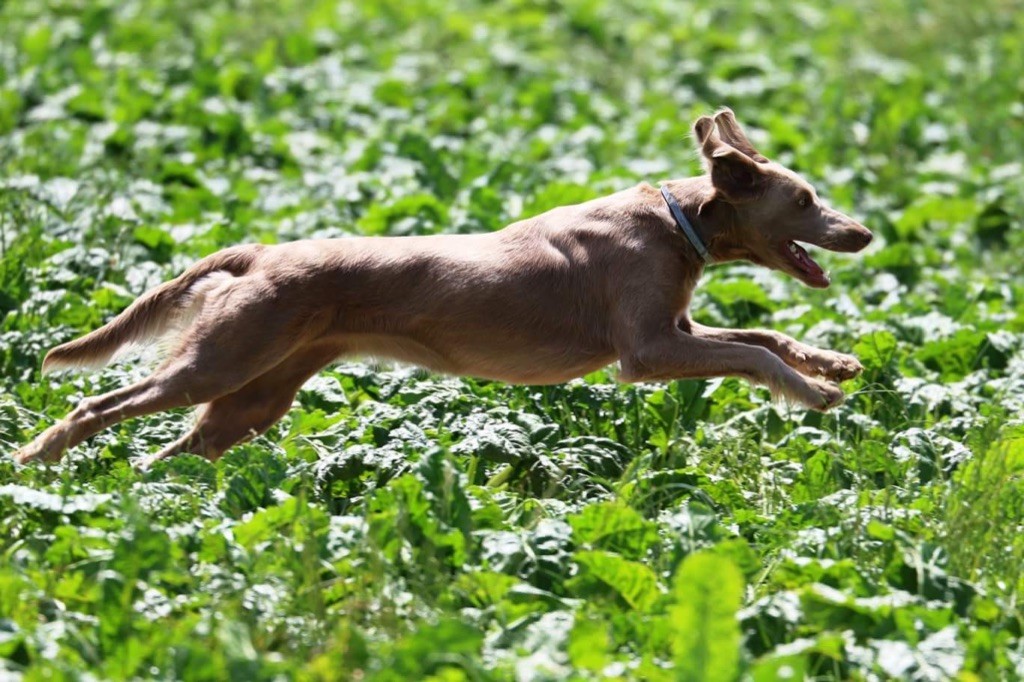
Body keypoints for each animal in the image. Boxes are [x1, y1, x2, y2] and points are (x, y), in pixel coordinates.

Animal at [12, 107, 868, 466]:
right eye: (805, 200)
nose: (864, 233)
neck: (677, 220)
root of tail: (258, 255)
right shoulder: (647, 353)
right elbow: (752, 354)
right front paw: (815, 391)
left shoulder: (675, 334)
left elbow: (761, 337)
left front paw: (829, 364)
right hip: (216, 364)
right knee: (97, 406)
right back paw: (37, 460)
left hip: (254, 398)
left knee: (174, 453)